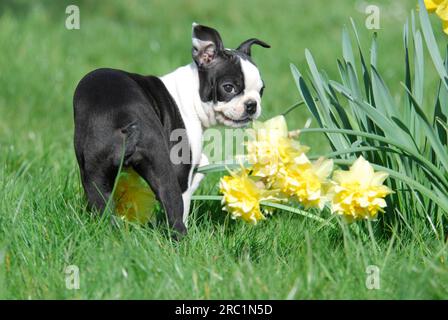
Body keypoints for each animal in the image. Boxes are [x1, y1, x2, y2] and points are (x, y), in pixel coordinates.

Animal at [73, 23, 270, 236]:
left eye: (261, 90)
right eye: (229, 88)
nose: (252, 105)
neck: (192, 94)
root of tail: (124, 116)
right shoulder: (182, 167)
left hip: (95, 174)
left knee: (102, 206)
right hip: (164, 166)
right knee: (175, 212)